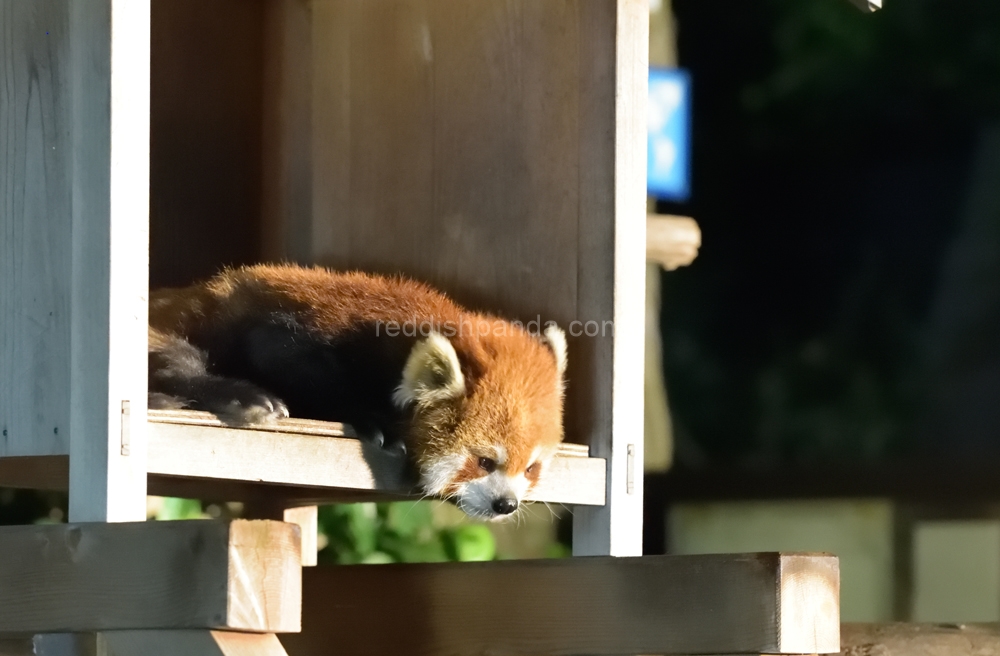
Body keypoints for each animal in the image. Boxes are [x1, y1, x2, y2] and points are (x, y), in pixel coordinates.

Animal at [151, 264, 568, 520]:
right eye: (484, 461)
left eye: (530, 468)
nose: (506, 504)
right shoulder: (301, 329)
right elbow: (286, 360)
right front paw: (373, 419)